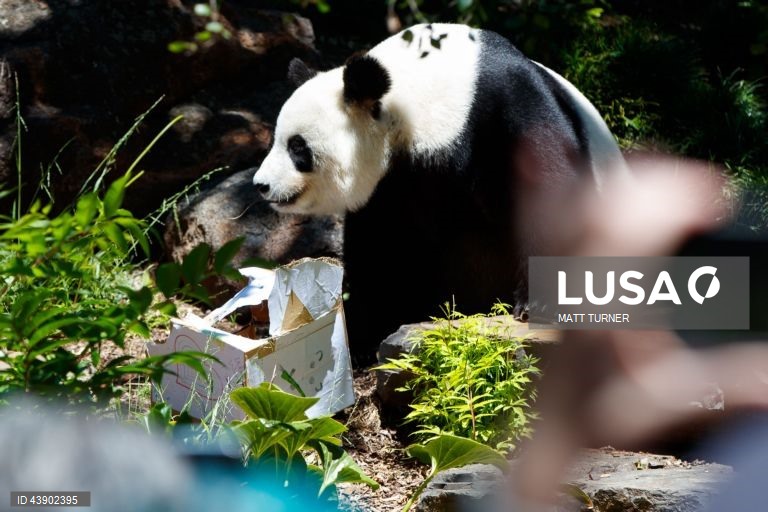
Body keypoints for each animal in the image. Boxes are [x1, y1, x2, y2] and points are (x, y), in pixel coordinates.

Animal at [253, 23, 627, 364]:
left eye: (297, 147)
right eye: (277, 140)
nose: (261, 185)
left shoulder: (507, 104)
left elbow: (549, 189)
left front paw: (541, 301)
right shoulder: (389, 185)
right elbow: (382, 251)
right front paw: (359, 338)